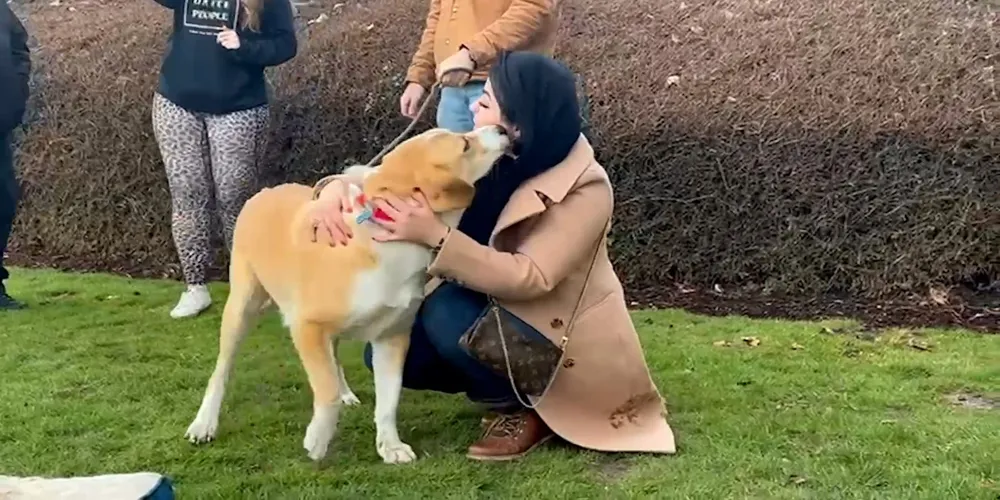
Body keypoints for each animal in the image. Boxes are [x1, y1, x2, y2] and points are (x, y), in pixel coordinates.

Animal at [185, 126, 512, 464]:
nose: (500, 128)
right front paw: (318, 440)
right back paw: (204, 423)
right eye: (464, 144)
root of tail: (265, 191)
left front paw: (390, 446)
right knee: (222, 370)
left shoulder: (392, 338)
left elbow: (388, 401)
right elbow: (325, 390)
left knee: (334, 359)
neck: (387, 240)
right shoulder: (307, 327)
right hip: (242, 308)